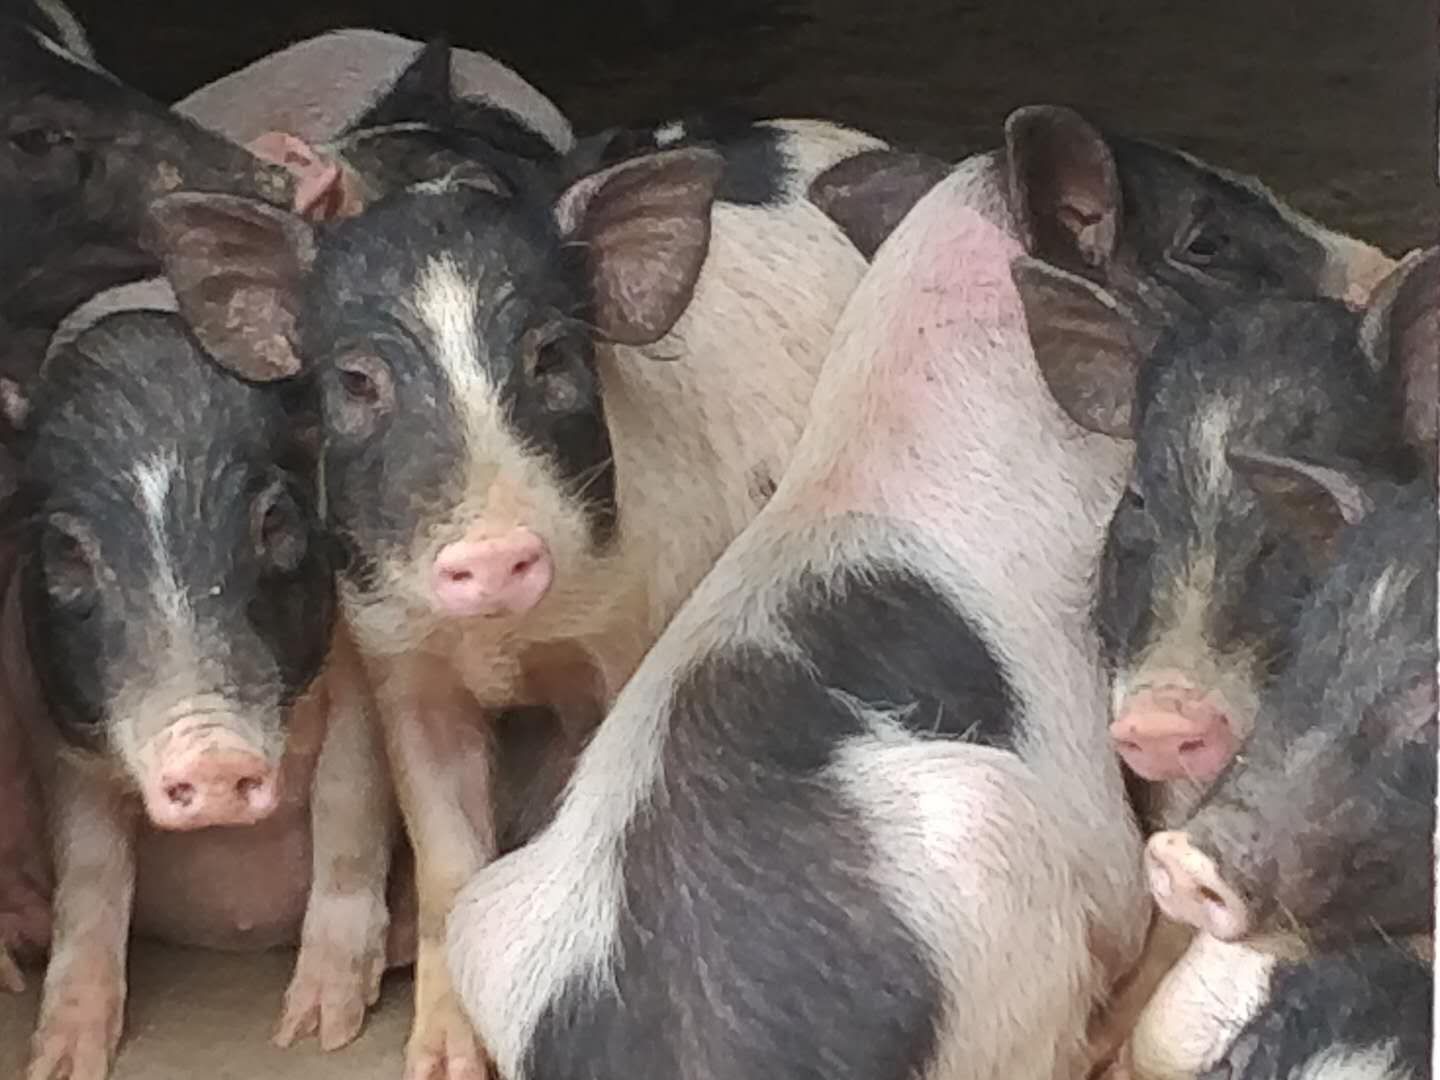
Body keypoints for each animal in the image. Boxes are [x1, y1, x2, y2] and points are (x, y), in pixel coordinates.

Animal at [1, 315, 394, 1080]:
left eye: (276, 522)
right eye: (66, 552)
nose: (214, 759)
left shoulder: (356, 672)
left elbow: (350, 808)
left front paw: (315, 1033)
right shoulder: (60, 726)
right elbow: (91, 870)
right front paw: (62, 1060)